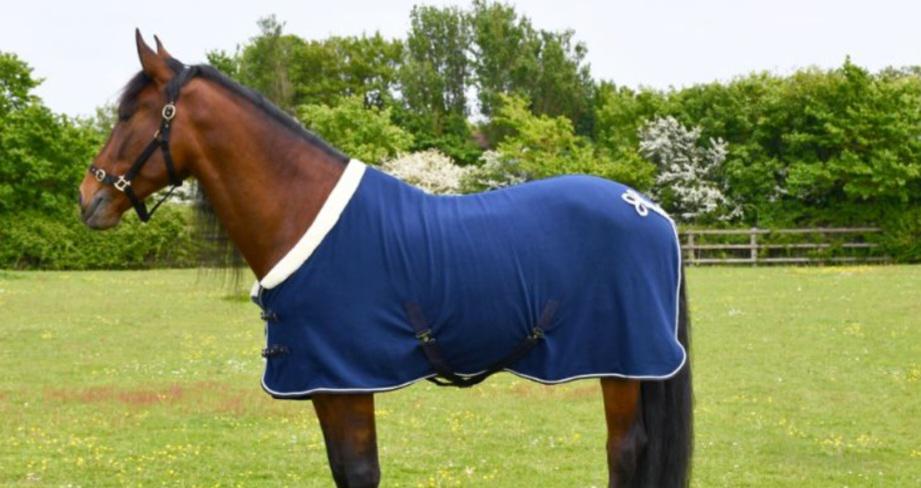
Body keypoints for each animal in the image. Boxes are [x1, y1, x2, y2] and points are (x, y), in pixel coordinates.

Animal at [78, 31, 692, 487]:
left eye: (130, 114)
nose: (89, 198)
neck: (302, 211)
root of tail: (645, 208)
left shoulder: (344, 385)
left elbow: (357, 472)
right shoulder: (331, 385)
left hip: (620, 364)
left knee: (624, 450)